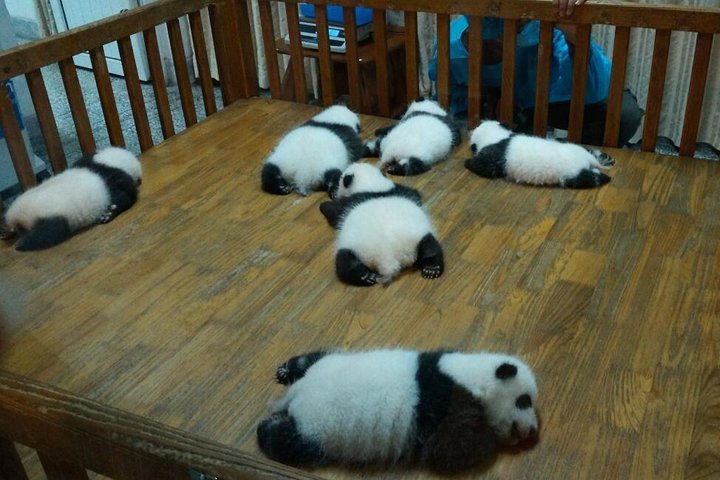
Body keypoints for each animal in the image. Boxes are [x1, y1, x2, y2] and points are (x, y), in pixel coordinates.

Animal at [257, 348, 539, 473]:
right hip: (316, 428)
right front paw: (491, 439)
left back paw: (286, 370)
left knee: (313, 357)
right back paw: (266, 428)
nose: (533, 430)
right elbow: (453, 448)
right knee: (290, 441)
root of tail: (298, 393)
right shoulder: (446, 406)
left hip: (329, 362)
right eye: (524, 401)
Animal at [465, 120, 615, 188]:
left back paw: (605, 177)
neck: (497, 136)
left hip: (572, 174)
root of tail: (588, 159)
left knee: (589, 178)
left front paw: (467, 162)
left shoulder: (492, 157)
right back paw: (607, 159)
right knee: (591, 153)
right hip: (575, 147)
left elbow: (482, 166)